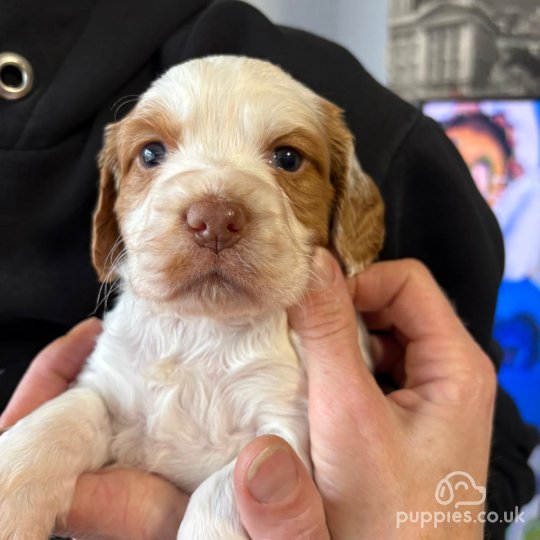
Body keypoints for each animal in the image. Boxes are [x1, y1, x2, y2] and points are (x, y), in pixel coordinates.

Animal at [0, 57, 384, 536]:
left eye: (288, 158)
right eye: (150, 153)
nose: (214, 217)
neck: (205, 327)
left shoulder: (288, 430)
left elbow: (219, 491)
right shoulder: (107, 385)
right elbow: (59, 419)